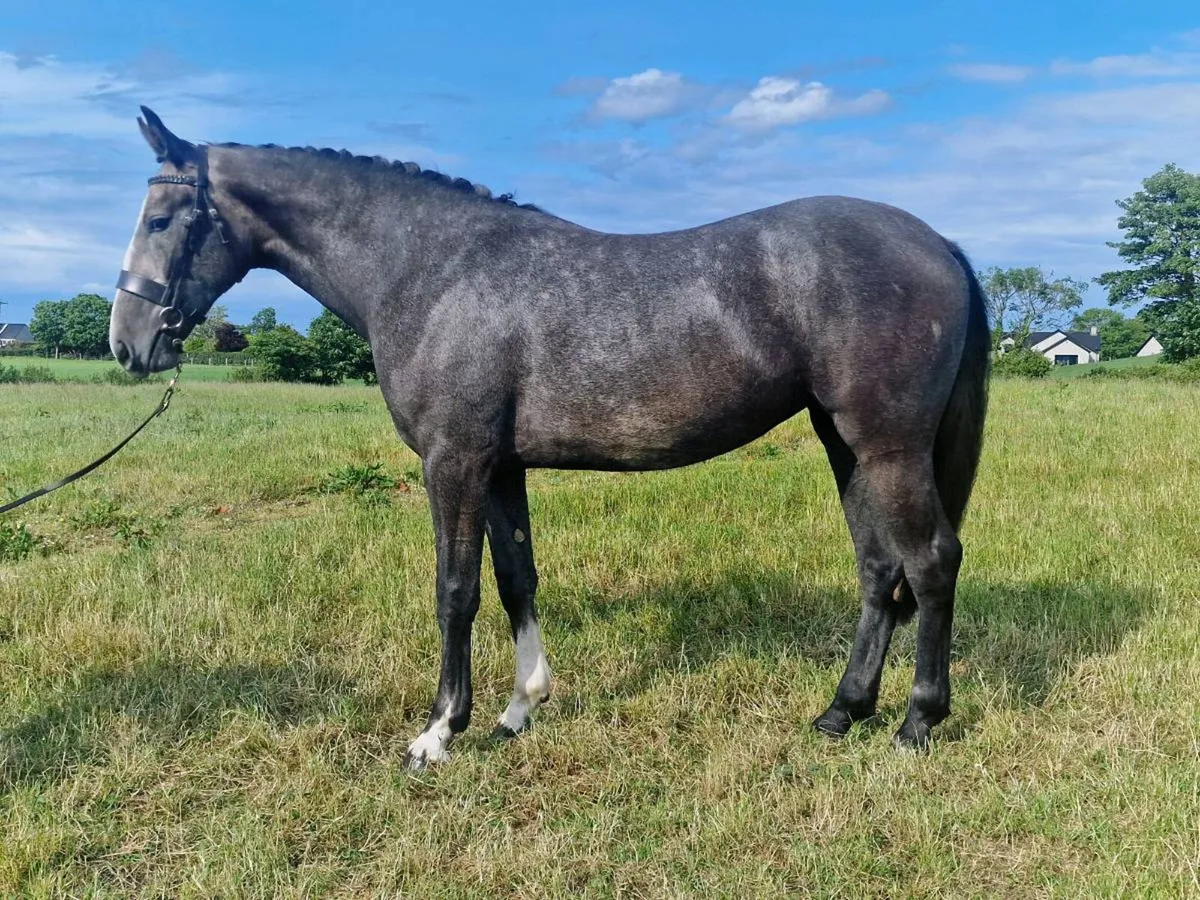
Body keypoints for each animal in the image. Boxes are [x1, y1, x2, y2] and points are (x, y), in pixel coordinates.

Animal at [110, 107, 989, 768]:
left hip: (889, 448)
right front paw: (517, 711)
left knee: (930, 562)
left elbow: (455, 590)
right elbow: (515, 581)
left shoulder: (454, 462)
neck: (431, 270)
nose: (127, 343)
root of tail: (939, 243)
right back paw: (842, 712)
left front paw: (439, 732)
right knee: (879, 570)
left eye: (161, 217)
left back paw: (916, 723)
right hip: (846, 445)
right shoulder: (501, 468)